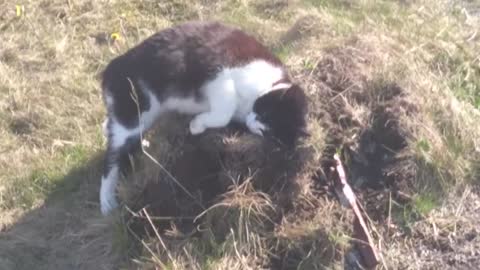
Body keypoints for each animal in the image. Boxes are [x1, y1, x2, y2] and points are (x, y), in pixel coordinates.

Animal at [100, 20, 310, 215]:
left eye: (266, 132)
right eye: (265, 114)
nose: (252, 122)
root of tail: (110, 70)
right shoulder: (222, 73)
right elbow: (224, 111)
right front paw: (196, 125)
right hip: (132, 115)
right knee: (111, 158)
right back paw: (107, 202)